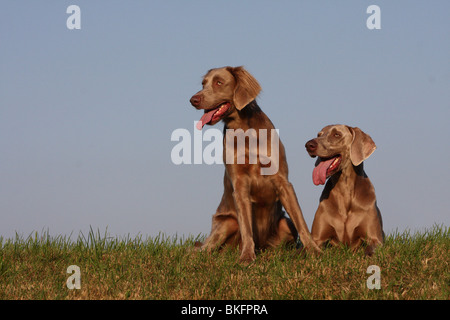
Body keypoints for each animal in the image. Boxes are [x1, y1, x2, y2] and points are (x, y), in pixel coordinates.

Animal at [190, 65, 320, 262]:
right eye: (203, 84)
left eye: (219, 82)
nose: (193, 100)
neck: (243, 131)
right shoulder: (239, 184)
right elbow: (246, 227)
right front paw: (246, 257)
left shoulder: (283, 181)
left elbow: (301, 221)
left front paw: (314, 250)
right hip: (227, 222)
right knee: (205, 249)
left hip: (284, 224)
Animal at [304, 124, 384, 255]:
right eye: (319, 134)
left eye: (337, 134)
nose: (308, 145)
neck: (345, 189)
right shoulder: (317, 239)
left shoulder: (375, 239)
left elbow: (369, 249)